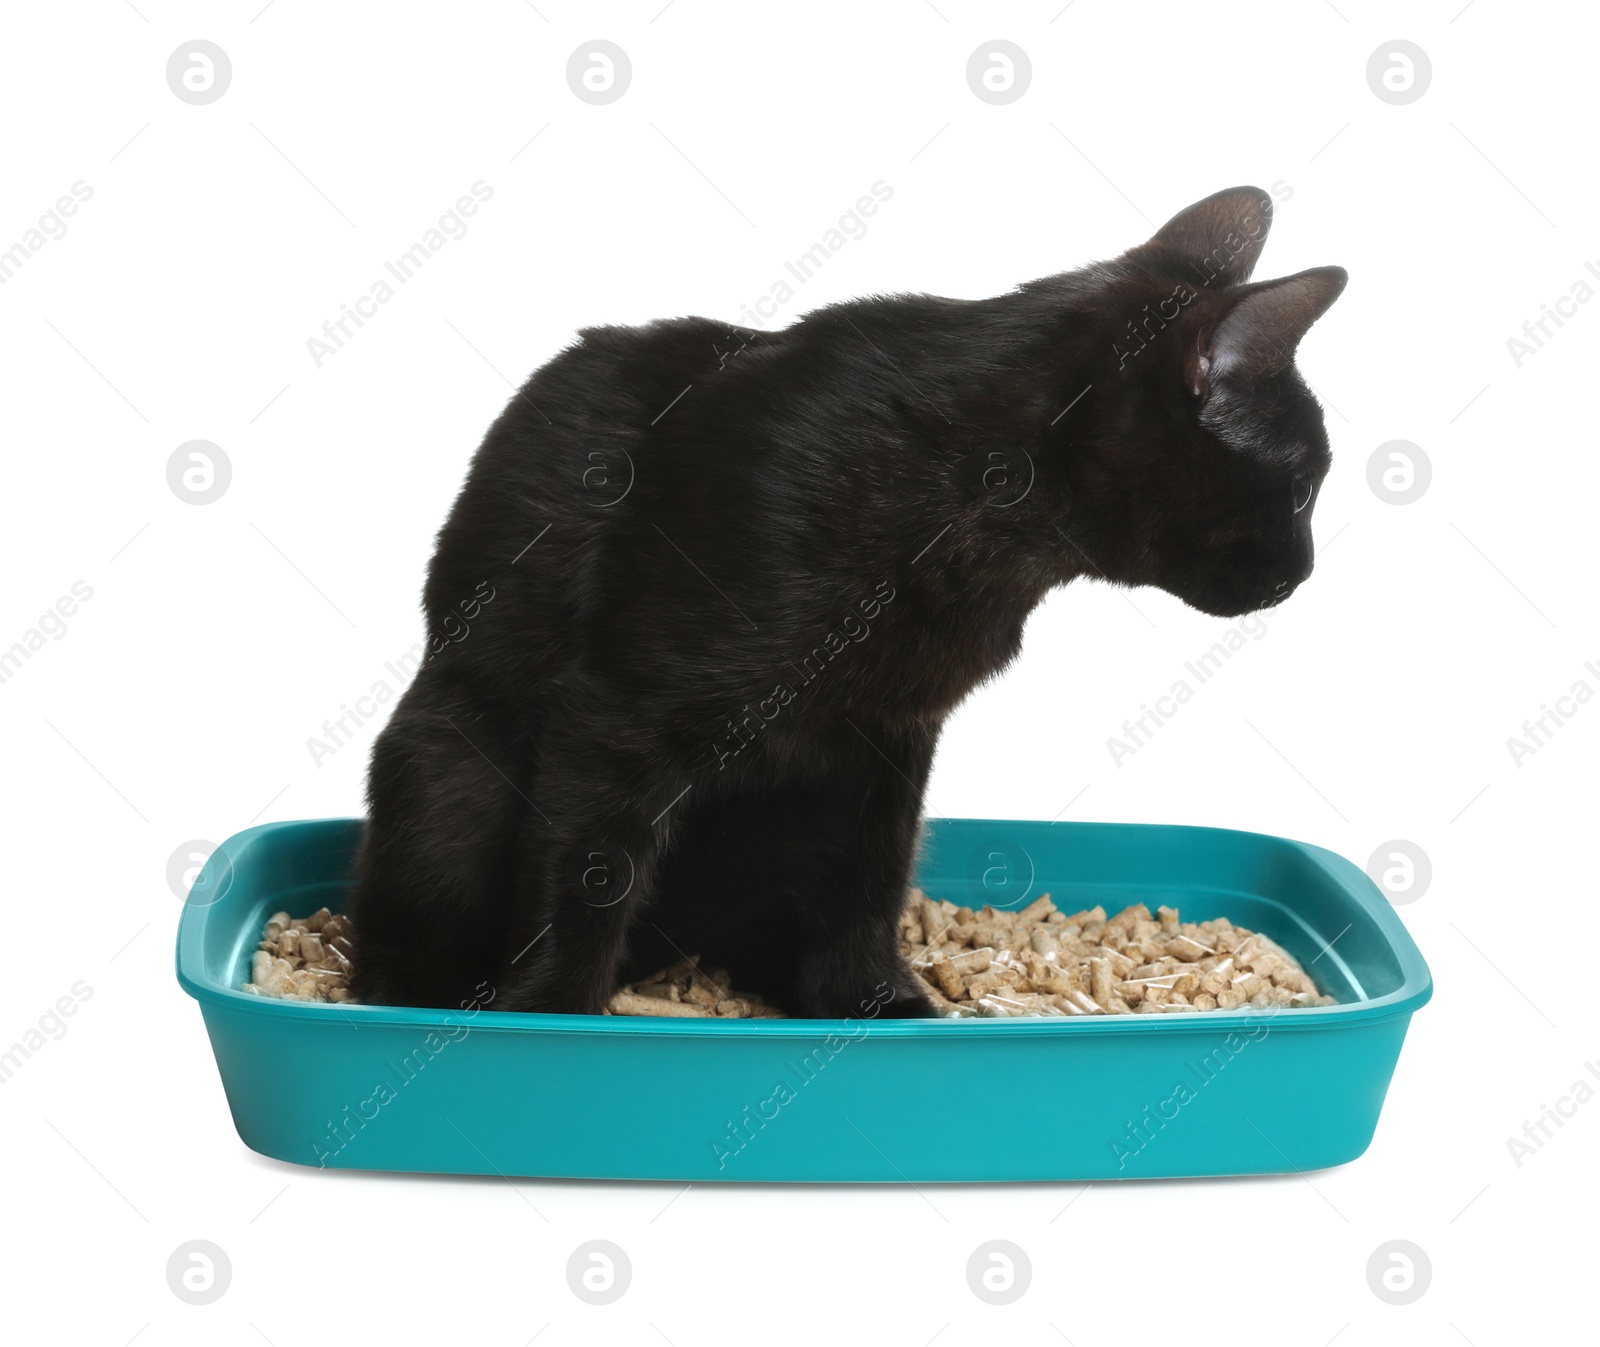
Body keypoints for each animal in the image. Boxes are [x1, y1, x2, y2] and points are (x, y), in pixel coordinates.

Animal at [347, 183, 1337, 1011]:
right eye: (1301, 488)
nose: (1306, 570)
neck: (988, 514)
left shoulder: (884, 741)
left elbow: (867, 884)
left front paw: (877, 1003)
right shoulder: (620, 711)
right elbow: (585, 874)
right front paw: (551, 1018)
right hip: (449, 765)